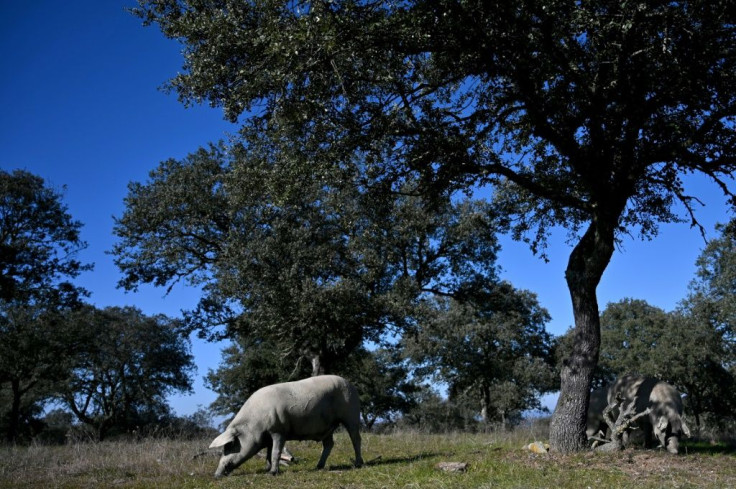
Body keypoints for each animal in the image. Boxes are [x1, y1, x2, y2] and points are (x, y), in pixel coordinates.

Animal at [207, 374, 362, 476]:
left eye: (230, 445)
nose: (216, 475)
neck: (254, 425)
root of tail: (350, 384)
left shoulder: (278, 431)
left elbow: (276, 452)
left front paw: (272, 473)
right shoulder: (269, 437)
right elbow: (268, 454)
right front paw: (268, 470)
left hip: (352, 414)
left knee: (356, 439)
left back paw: (358, 464)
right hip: (326, 427)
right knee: (329, 444)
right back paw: (318, 467)